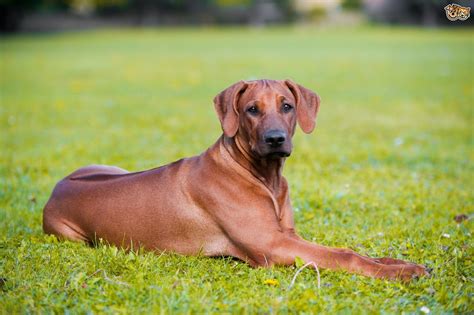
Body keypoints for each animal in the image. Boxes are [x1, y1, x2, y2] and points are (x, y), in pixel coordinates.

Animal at [43, 79, 430, 282]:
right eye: (252, 110)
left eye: (287, 106)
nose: (275, 139)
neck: (264, 176)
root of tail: (56, 188)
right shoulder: (274, 245)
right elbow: (346, 255)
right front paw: (399, 272)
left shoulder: (289, 235)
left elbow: (353, 250)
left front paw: (401, 264)